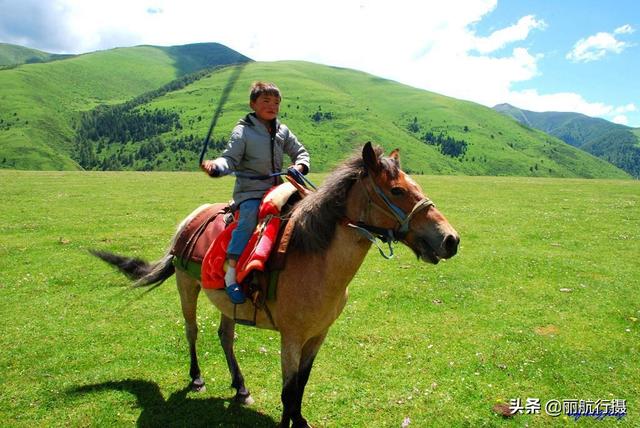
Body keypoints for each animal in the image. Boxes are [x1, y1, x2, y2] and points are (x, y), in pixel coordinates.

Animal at [92, 144, 458, 428]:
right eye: (397, 190)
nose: (450, 239)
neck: (315, 259)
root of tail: (192, 218)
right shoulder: (291, 337)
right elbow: (287, 389)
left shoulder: (318, 335)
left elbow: (301, 386)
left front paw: (300, 420)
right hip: (187, 285)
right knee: (192, 330)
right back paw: (196, 377)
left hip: (226, 302)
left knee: (225, 336)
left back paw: (240, 387)